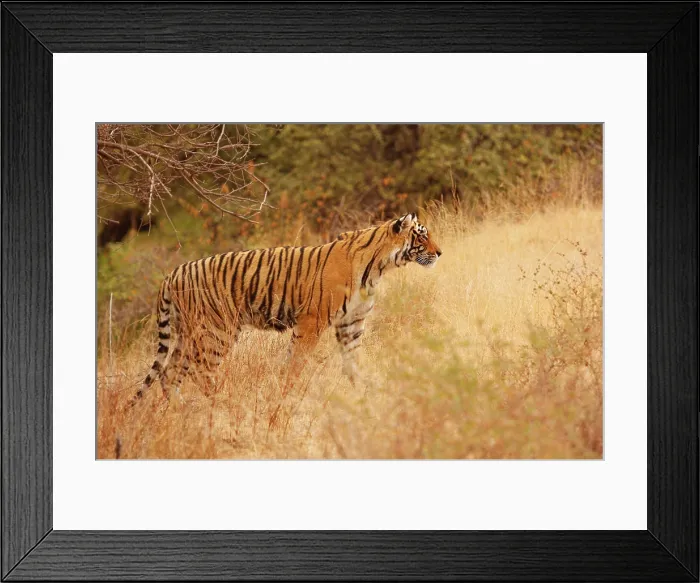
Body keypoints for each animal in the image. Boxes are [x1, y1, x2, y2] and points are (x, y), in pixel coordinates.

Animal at [133, 212, 442, 404]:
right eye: (421, 236)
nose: (440, 253)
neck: (379, 268)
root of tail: (171, 274)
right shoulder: (312, 321)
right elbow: (295, 363)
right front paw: (287, 395)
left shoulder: (351, 323)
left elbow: (353, 362)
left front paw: (363, 393)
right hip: (216, 331)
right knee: (199, 371)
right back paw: (215, 402)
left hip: (189, 334)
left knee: (168, 373)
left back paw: (179, 408)